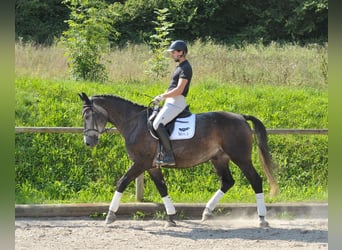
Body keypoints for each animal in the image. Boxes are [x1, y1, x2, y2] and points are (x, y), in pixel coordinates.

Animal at [79, 92, 280, 227]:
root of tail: (241, 117)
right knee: (227, 182)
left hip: (241, 158)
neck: (134, 123)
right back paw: (207, 212)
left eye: (90, 115)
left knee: (255, 180)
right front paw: (171, 218)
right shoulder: (152, 166)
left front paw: (110, 215)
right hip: (219, 158)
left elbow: (121, 182)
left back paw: (262, 219)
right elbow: (162, 188)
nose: (89, 142)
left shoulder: (141, 163)